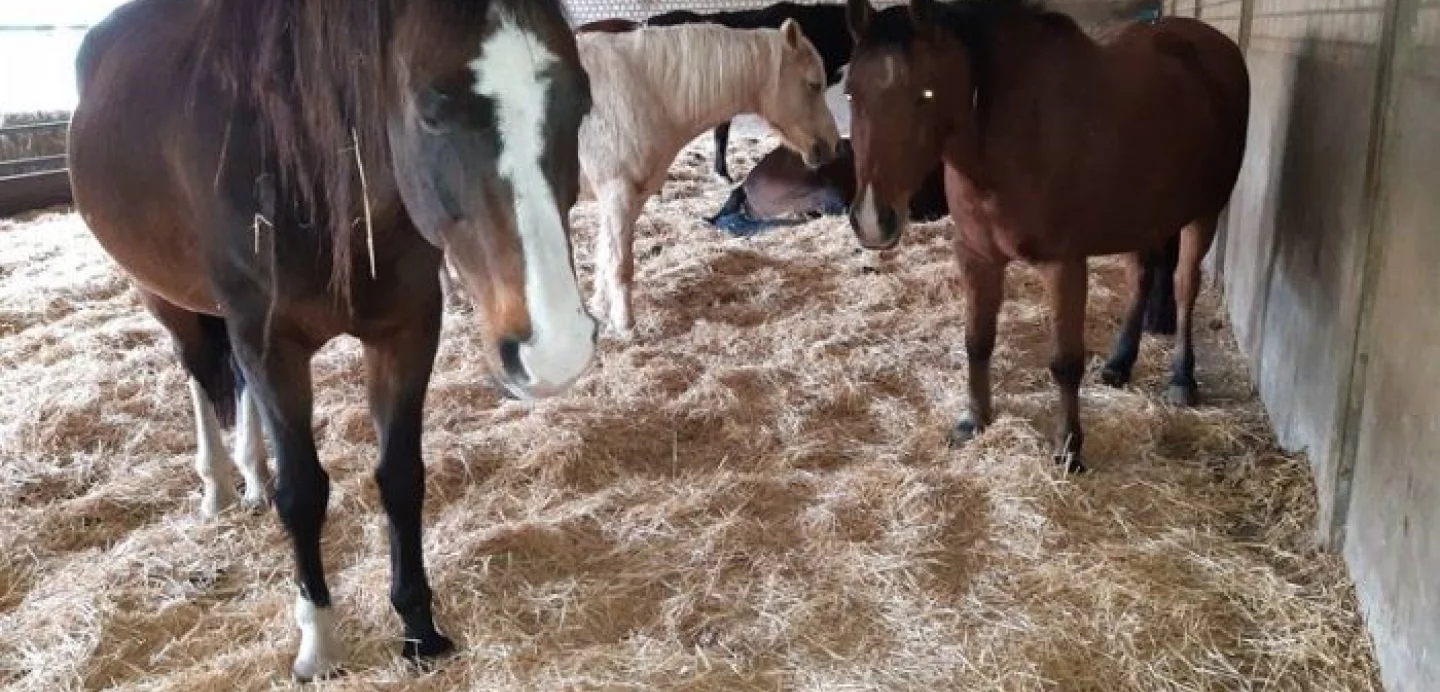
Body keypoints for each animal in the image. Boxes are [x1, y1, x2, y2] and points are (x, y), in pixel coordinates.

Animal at [68, 0, 596, 679]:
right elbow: (303, 491)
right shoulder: (270, 342)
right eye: (432, 111)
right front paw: (318, 643)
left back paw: (251, 476)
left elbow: (400, 476)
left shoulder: (406, 331)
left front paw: (419, 628)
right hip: (166, 298)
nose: (556, 350)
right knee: (200, 376)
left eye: (581, 101)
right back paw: (217, 486)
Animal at [577, 21, 841, 334]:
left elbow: (604, 256)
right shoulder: (618, 194)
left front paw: (599, 310)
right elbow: (619, 263)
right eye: (813, 84)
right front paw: (625, 326)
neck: (642, 89)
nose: (833, 146)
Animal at [842, 0, 1249, 470]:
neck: (1013, 137)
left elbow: (1065, 362)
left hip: (1204, 213)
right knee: (1142, 278)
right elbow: (977, 342)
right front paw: (974, 421)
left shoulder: (1064, 265)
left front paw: (1069, 448)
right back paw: (1119, 364)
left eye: (925, 94)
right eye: (850, 93)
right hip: (1142, 218)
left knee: (1185, 287)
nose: (872, 220)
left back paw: (1183, 378)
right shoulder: (976, 257)